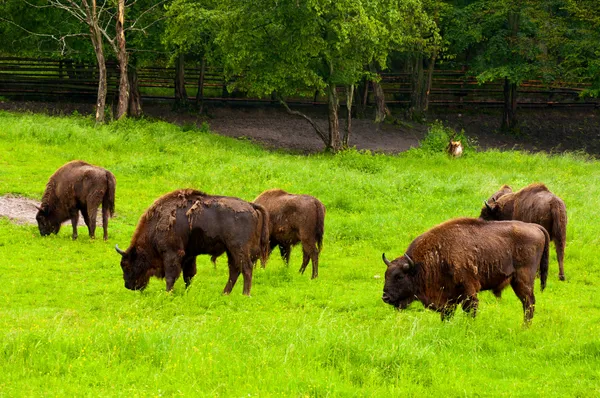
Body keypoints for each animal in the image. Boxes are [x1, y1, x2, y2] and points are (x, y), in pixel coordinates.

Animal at [115, 190, 270, 296]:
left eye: (126, 265)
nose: (128, 285)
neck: (156, 224)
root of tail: (250, 205)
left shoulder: (172, 254)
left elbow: (171, 276)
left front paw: (168, 293)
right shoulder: (188, 256)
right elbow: (188, 276)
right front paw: (186, 293)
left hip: (238, 248)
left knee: (246, 268)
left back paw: (245, 294)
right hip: (230, 250)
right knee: (235, 270)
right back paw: (224, 293)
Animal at [384, 218, 548, 324]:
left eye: (399, 276)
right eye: (386, 275)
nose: (385, 297)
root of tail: (535, 227)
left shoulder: (469, 291)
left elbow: (470, 310)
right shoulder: (448, 298)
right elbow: (447, 315)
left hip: (523, 280)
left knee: (528, 303)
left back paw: (525, 327)